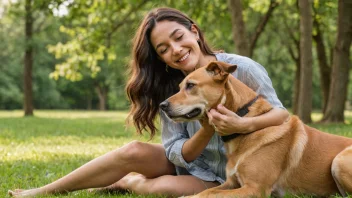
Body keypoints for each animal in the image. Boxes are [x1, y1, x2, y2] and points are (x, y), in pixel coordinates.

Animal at [160, 61, 352, 197]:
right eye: (180, 87)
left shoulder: (254, 189)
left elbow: (211, 195)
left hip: (338, 161)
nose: (162, 105)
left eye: (191, 85)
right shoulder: (231, 182)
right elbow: (207, 191)